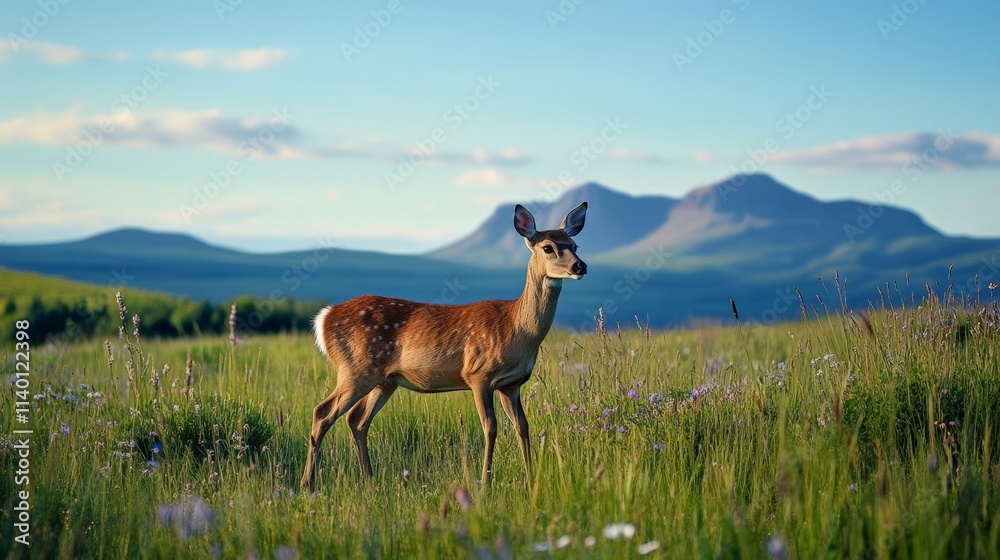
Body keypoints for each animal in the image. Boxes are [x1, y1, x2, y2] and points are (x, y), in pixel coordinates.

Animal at [300, 201, 588, 492]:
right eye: (548, 247)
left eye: (575, 245)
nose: (580, 266)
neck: (517, 330)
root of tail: (324, 318)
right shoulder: (478, 375)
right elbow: (490, 427)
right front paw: (485, 483)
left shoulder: (512, 384)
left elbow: (523, 426)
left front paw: (531, 480)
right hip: (356, 369)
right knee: (323, 412)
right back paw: (307, 484)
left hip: (385, 380)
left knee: (356, 420)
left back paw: (370, 480)